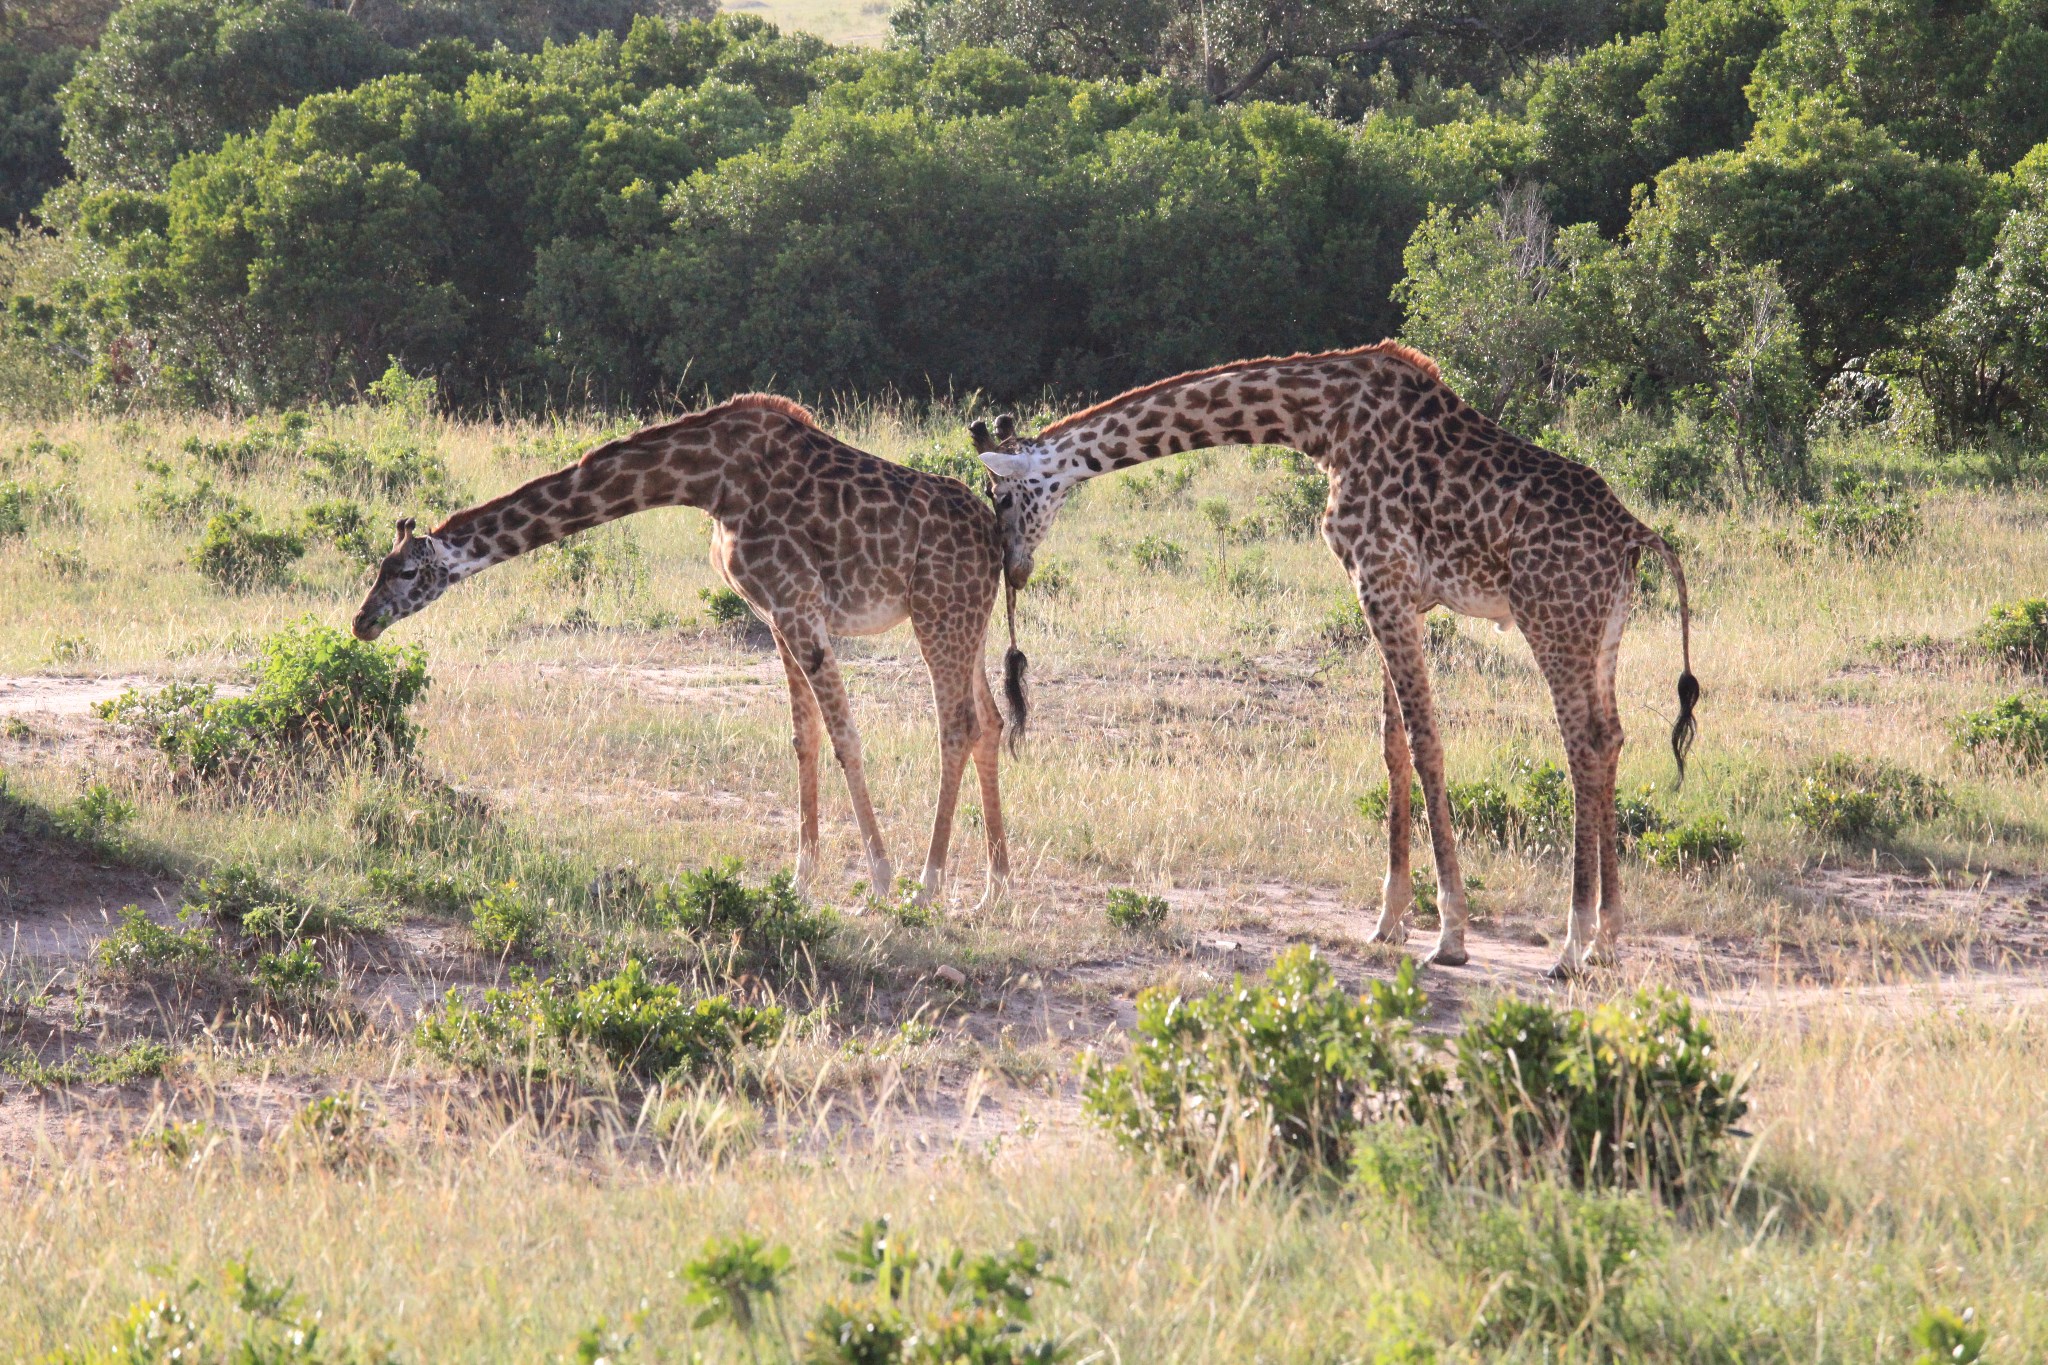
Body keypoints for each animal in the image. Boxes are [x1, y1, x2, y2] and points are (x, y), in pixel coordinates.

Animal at [354, 388, 1032, 912]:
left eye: (406, 573)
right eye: (380, 567)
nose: (363, 622)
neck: (708, 481)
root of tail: (995, 538)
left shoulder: (797, 603)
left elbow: (845, 738)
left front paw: (881, 879)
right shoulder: (777, 614)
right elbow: (805, 739)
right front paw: (800, 881)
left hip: (938, 610)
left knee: (957, 724)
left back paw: (927, 886)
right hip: (964, 617)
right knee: (991, 721)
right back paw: (996, 887)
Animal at [970, 347, 1695, 978]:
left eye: (1002, 497)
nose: (1012, 566)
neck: (1321, 424)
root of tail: (1636, 534)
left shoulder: (1379, 579)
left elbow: (1427, 743)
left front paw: (1451, 936)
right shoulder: (1398, 593)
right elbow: (1394, 745)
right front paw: (1390, 921)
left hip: (1554, 621)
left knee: (1582, 746)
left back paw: (1571, 947)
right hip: (1605, 631)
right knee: (1611, 739)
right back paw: (1607, 939)